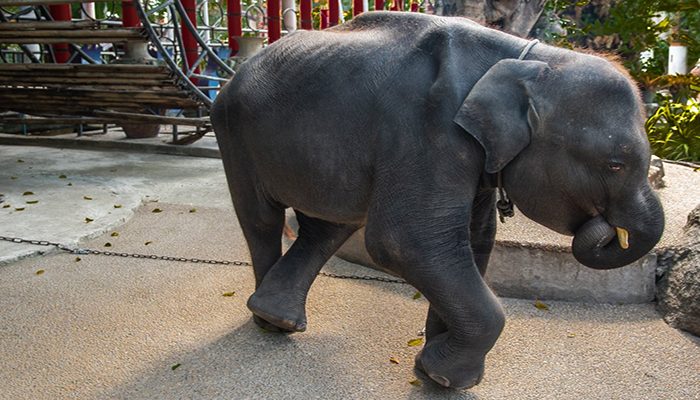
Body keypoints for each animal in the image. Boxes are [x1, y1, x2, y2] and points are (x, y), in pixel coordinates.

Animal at [211, 11, 664, 390]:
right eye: (616, 164)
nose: (606, 228)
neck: (527, 58)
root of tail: (237, 71)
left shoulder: (475, 155)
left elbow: (474, 240)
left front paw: (433, 370)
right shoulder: (428, 130)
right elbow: (406, 241)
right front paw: (444, 377)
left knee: (327, 228)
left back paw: (276, 315)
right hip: (233, 130)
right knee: (262, 221)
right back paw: (268, 324)